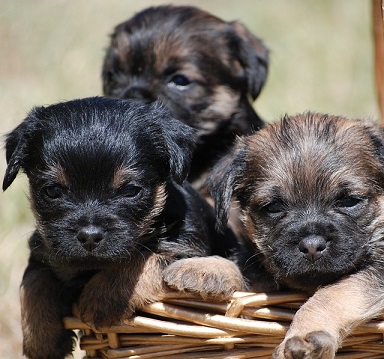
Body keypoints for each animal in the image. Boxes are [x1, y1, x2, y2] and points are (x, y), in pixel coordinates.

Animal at [3, 96, 243, 359]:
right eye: (53, 191)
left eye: (130, 190)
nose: (89, 235)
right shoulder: (44, 248)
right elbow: (34, 279)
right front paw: (41, 340)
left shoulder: (187, 249)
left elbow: (141, 259)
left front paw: (101, 299)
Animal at [208, 112, 384, 359]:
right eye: (273, 207)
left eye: (349, 201)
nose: (311, 246)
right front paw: (203, 270)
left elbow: (335, 293)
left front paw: (306, 337)